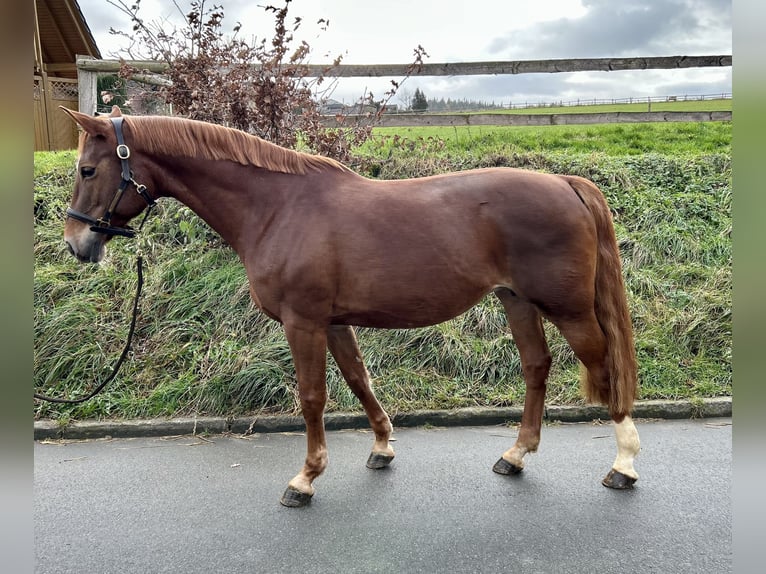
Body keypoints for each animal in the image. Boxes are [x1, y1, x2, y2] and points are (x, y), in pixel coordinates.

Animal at [61, 107, 640, 508]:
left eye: (88, 170)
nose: (76, 244)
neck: (277, 208)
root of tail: (566, 182)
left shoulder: (304, 323)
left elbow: (312, 398)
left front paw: (305, 479)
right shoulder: (335, 323)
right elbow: (359, 381)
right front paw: (382, 448)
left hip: (567, 309)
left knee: (604, 365)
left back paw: (624, 463)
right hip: (517, 301)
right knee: (536, 367)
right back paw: (515, 456)